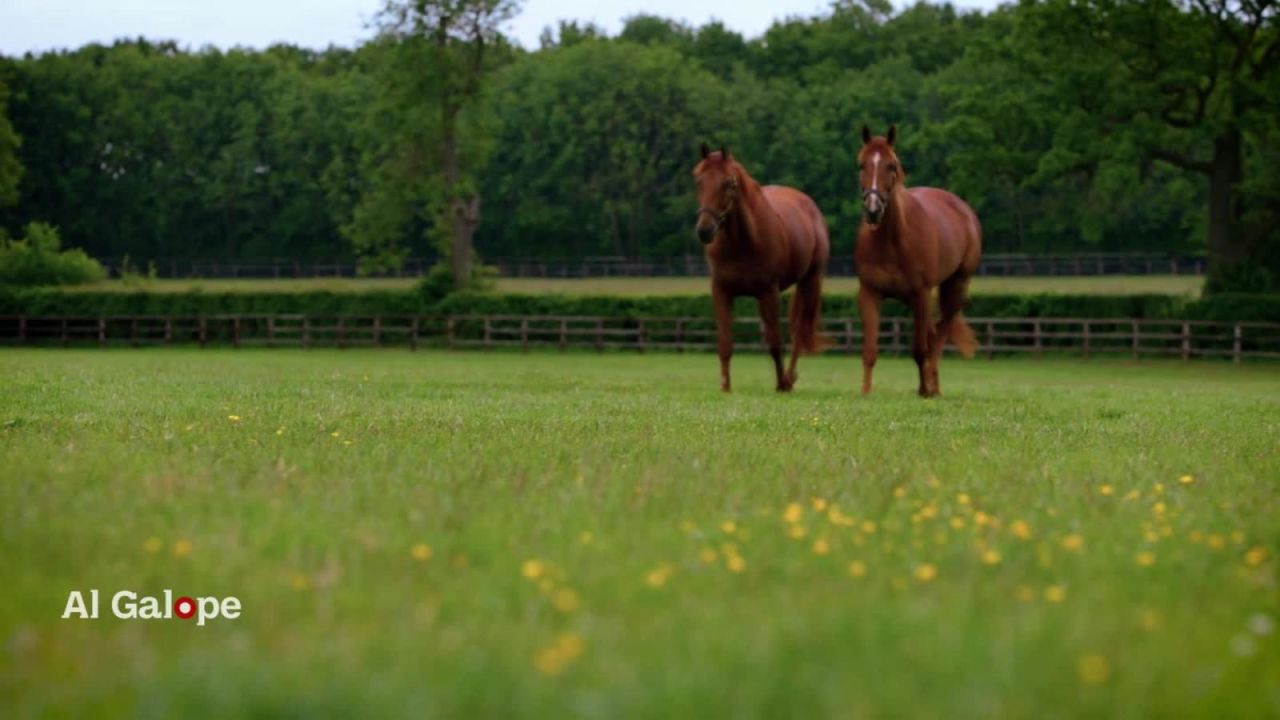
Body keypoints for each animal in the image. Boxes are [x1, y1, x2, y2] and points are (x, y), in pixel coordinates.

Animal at [696, 142, 834, 389]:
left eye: (729, 184)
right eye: (699, 181)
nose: (705, 230)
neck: (742, 244)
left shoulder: (769, 292)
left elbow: (775, 342)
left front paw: (781, 384)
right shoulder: (721, 291)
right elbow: (725, 343)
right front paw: (725, 387)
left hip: (811, 280)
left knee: (800, 331)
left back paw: (789, 377)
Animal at [855, 127, 983, 397]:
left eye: (891, 165)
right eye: (861, 164)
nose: (873, 210)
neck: (891, 241)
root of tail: (963, 209)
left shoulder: (921, 294)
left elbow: (919, 349)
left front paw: (924, 390)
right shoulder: (869, 293)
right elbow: (870, 350)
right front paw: (866, 391)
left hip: (954, 288)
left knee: (940, 334)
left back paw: (932, 386)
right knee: (933, 334)